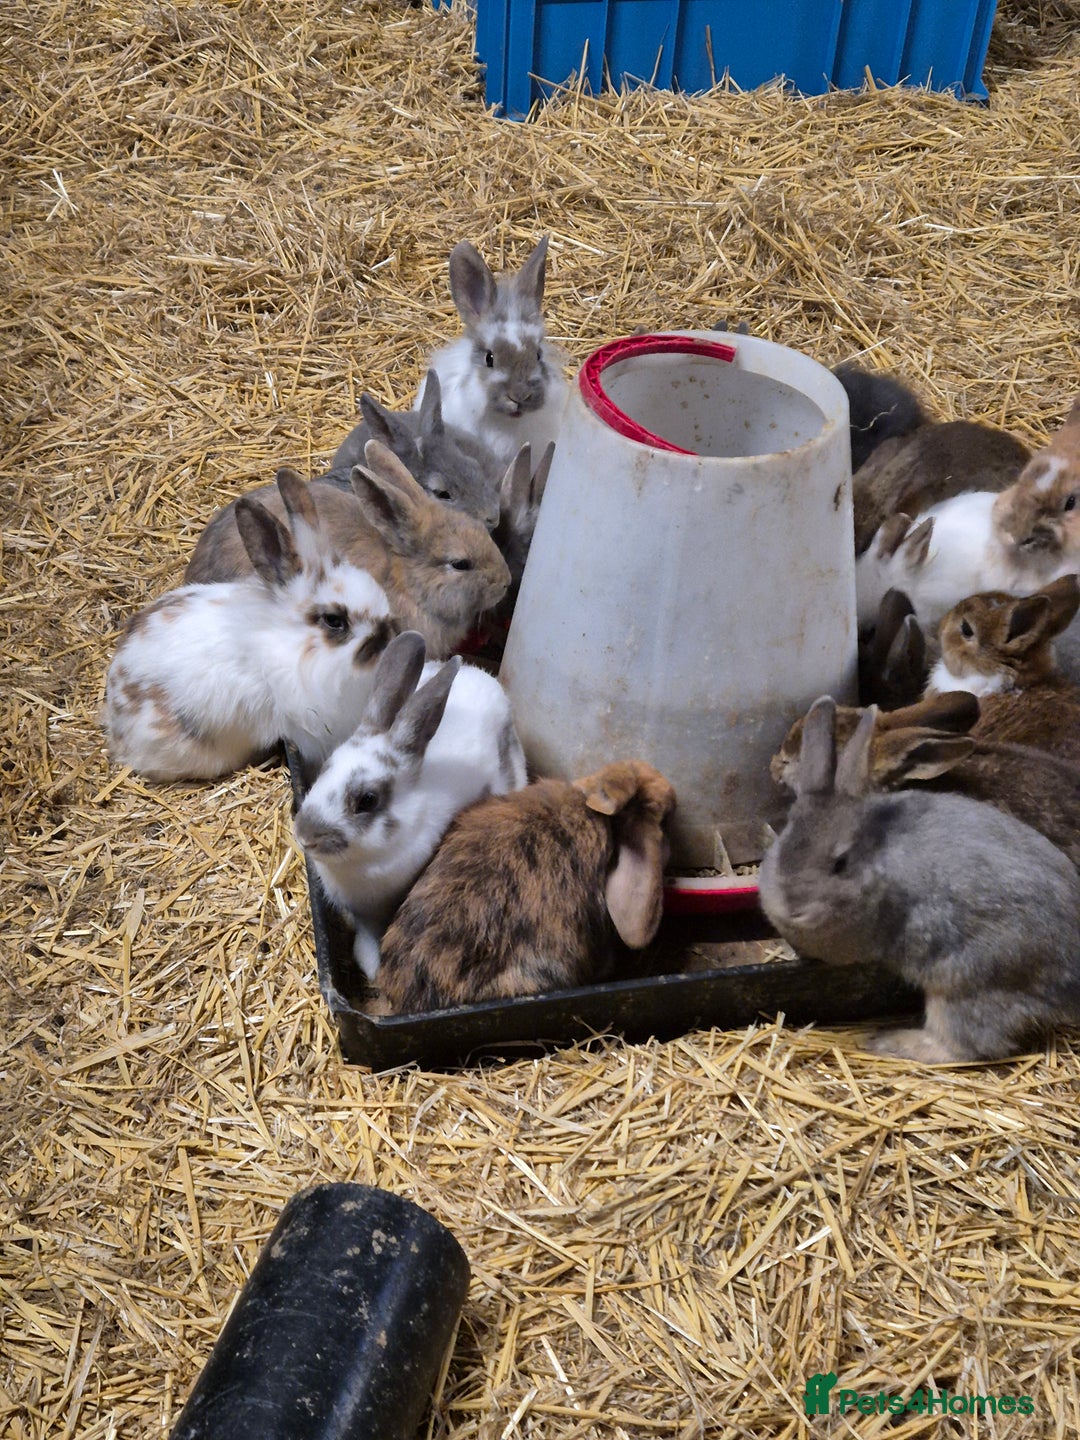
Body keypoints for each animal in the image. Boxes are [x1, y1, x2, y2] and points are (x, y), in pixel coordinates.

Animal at [293, 630, 527, 986]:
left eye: (367, 800)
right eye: (325, 769)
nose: (305, 834)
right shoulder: (362, 913)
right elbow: (365, 938)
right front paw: (371, 966)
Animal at [759, 696, 1080, 1063]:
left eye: (840, 863)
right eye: (785, 838)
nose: (793, 908)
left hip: (967, 985)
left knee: (966, 1044)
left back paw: (890, 1041)